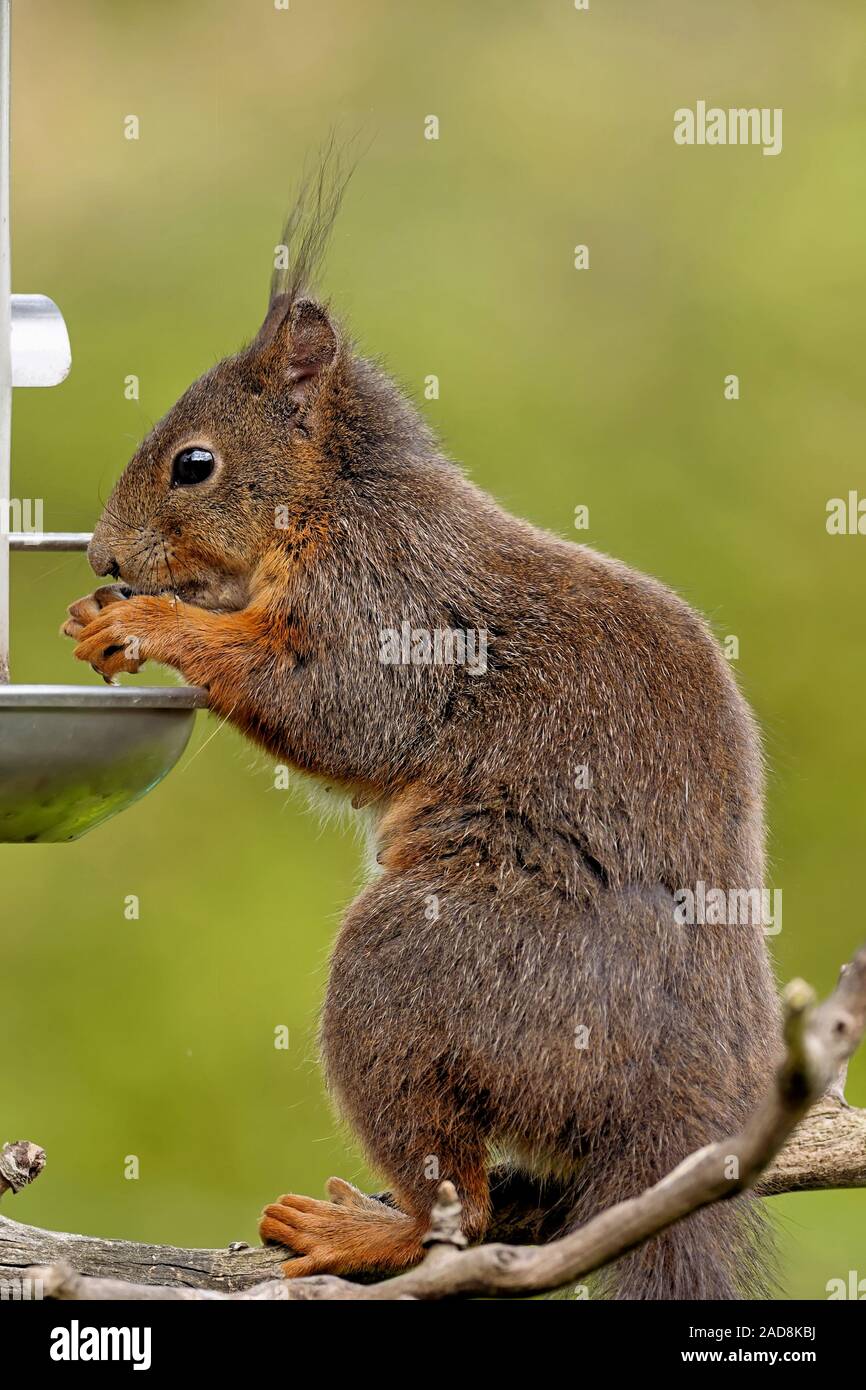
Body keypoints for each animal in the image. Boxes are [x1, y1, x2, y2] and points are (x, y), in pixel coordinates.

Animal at [63, 157, 780, 1299]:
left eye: (193, 464)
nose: (102, 558)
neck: (336, 500)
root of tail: (678, 1115)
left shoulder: (390, 604)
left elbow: (341, 710)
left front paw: (152, 623)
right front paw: (103, 621)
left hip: (420, 976)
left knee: (459, 1203)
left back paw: (367, 1231)